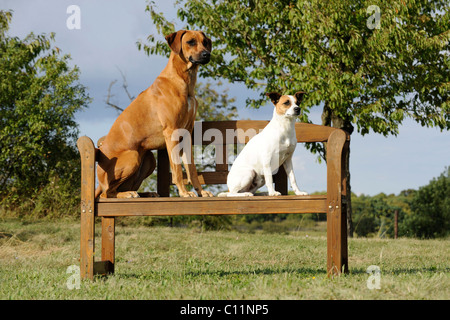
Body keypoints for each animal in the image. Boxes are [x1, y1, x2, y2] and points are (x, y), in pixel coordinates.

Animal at [95, 31, 214, 199]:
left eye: (205, 42)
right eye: (191, 42)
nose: (207, 54)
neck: (182, 80)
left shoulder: (186, 133)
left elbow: (191, 169)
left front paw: (201, 191)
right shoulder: (171, 132)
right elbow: (177, 169)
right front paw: (184, 192)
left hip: (149, 160)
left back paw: (147, 194)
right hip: (132, 156)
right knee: (107, 193)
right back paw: (127, 194)